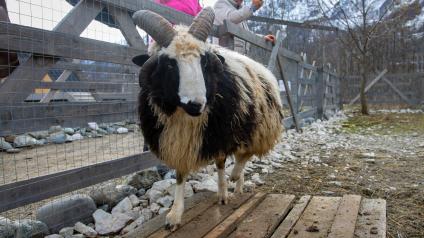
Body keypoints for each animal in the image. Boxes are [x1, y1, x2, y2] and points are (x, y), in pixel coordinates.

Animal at [132, 7, 284, 231]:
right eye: (169, 64)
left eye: (204, 61)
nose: (196, 104)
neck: (184, 116)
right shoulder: (179, 140)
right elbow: (180, 175)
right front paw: (174, 214)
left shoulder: (221, 131)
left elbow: (224, 162)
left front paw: (224, 191)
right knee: (237, 158)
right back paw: (235, 187)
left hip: (257, 127)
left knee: (244, 155)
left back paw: (234, 176)